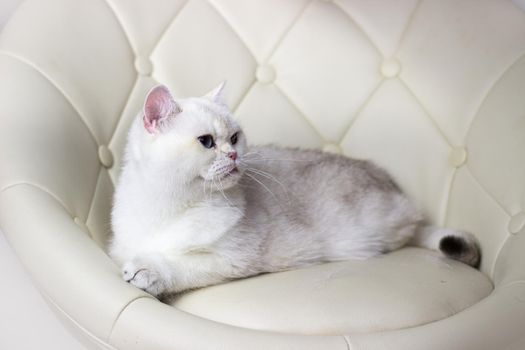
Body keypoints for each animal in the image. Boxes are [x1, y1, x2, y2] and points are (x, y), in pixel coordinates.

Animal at [109, 83, 478, 296]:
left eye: (235, 137)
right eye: (207, 142)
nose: (234, 155)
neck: (167, 203)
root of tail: (392, 186)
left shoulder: (230, 260)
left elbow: (177, 265)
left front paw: (146, 272)